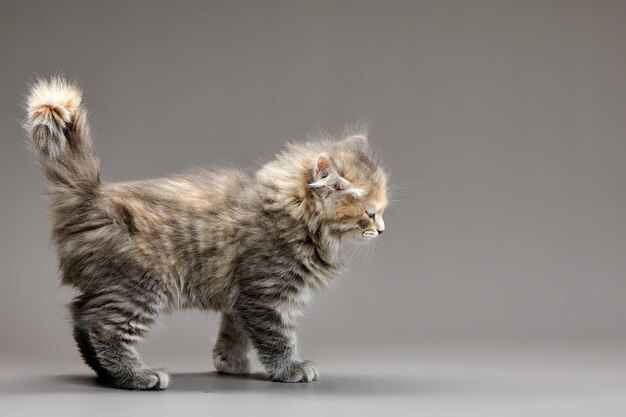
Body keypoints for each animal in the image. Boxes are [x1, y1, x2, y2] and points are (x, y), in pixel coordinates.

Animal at [25, 77, 386, 390]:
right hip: (139, 285)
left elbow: (234, 329)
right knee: (103, 326)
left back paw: (105, 374)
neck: (294, 215)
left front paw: (229, 362)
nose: (382, 230)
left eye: (382, 211)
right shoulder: (267, 293)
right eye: (369, 214)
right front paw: (289, 369)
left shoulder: (242, 296)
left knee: (80, 316)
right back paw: (138, 376)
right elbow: (278, 336)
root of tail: (91, 195)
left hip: (108, 285)